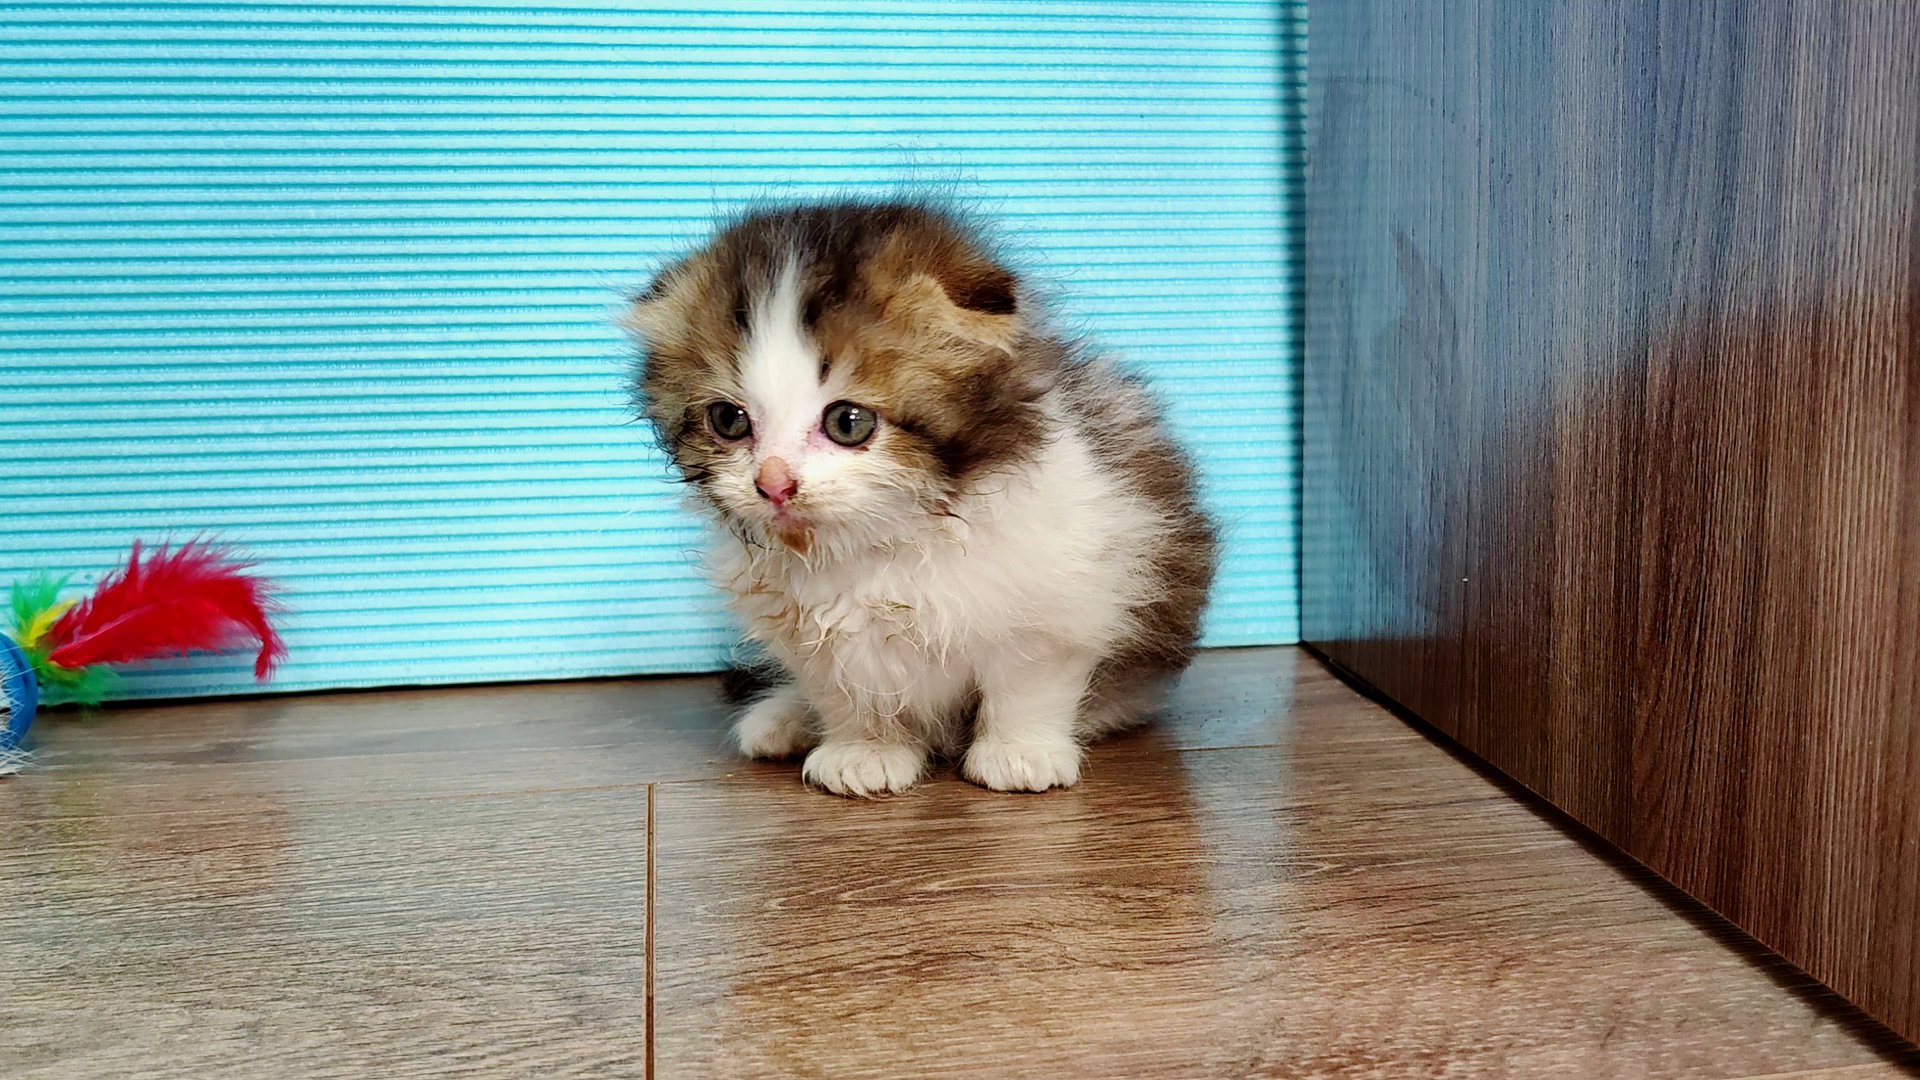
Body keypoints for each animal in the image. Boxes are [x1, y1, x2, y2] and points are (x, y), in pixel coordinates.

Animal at [625, 198, 1216, 796]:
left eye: (848, 422)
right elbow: (845, 689)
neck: (883, 541)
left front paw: (1019, 752)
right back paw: (784, 717)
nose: (773, 484)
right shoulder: (806, 628)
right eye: (728, 419)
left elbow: (1027, 681)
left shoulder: (1063, 588)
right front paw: (864, 750)